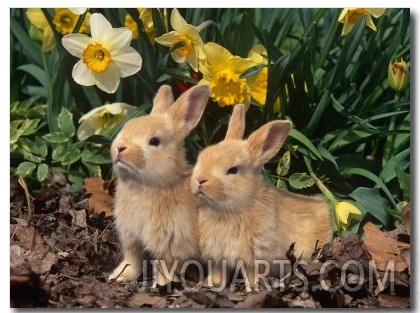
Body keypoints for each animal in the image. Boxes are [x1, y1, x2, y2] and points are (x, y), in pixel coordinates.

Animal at [109, 82, 210, 286]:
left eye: (154, 141)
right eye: (127, 127)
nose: (119, 148)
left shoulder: (170, 243)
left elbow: (166, 265)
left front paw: (162, 285)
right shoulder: (131, 238)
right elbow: (132, 259)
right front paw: (120, 276)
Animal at [189, 103, 332, 292]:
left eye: (233, 170)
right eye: (201, 157)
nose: (200, 180)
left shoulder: (254, 257)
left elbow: (252, 275)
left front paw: (254, 289)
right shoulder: (218, 256)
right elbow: (218, 272)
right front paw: (211, 284)